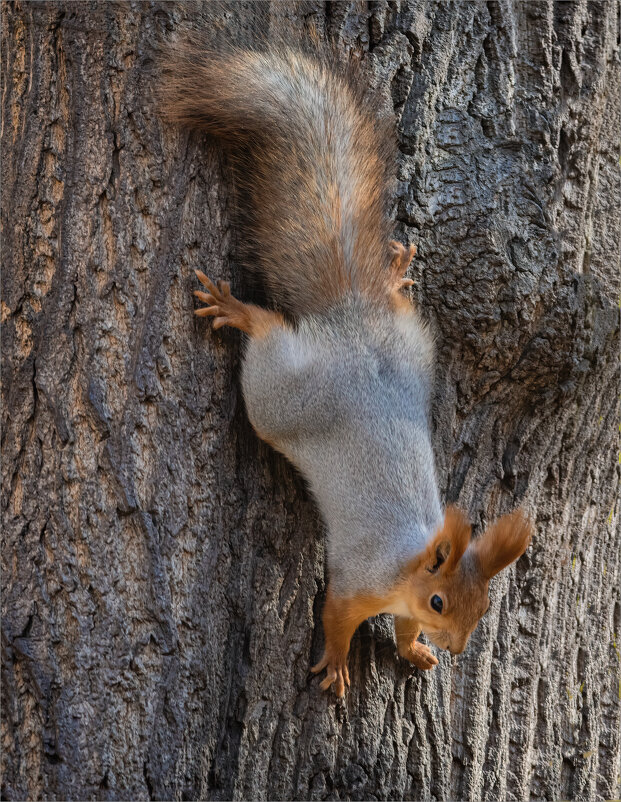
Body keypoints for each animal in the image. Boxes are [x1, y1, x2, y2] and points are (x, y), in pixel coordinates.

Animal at [157, 42, 532, 692]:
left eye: (483, 606)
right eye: (440, 601)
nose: (458, 647)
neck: (408, 565)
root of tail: (350, 320)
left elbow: (402, 632)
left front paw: (415, 651)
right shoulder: (360, 582)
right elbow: (335, 616)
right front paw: (334, 664)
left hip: (412, 344)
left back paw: (392, 276)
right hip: (279, 395)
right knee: (268, 339)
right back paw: (239, 311)